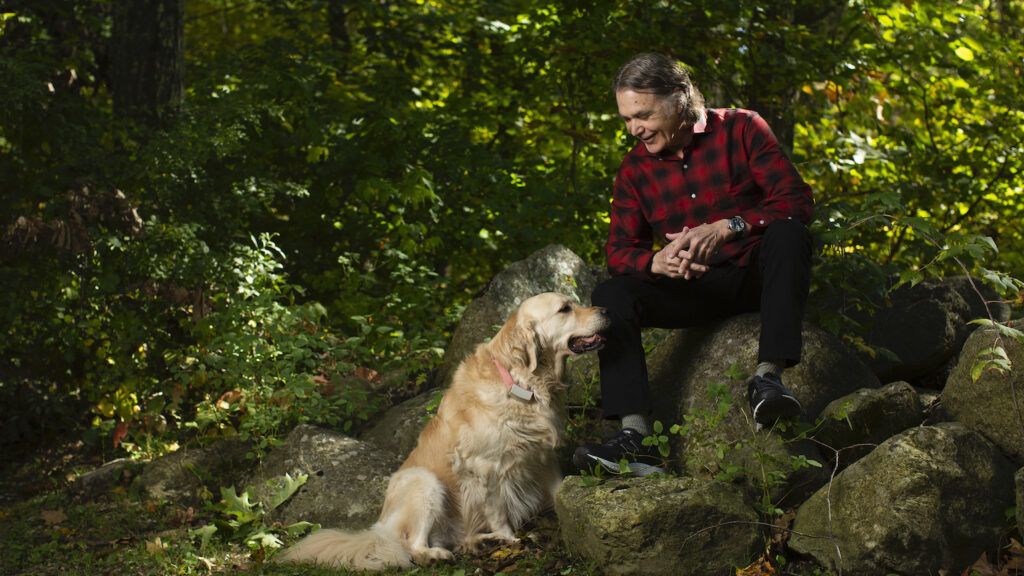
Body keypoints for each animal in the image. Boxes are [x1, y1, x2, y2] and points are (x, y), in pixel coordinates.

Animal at [278, 289, 606, 565]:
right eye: (565, 309)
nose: (605, 309)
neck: (523, 384)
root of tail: (380, 529)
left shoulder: (543, 456)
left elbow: (557, 489)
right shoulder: (486, 467)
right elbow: (498, 510)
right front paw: (510, 539)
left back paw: (479, 542)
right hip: (424, 483)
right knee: (412, 547)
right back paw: (440, 553)